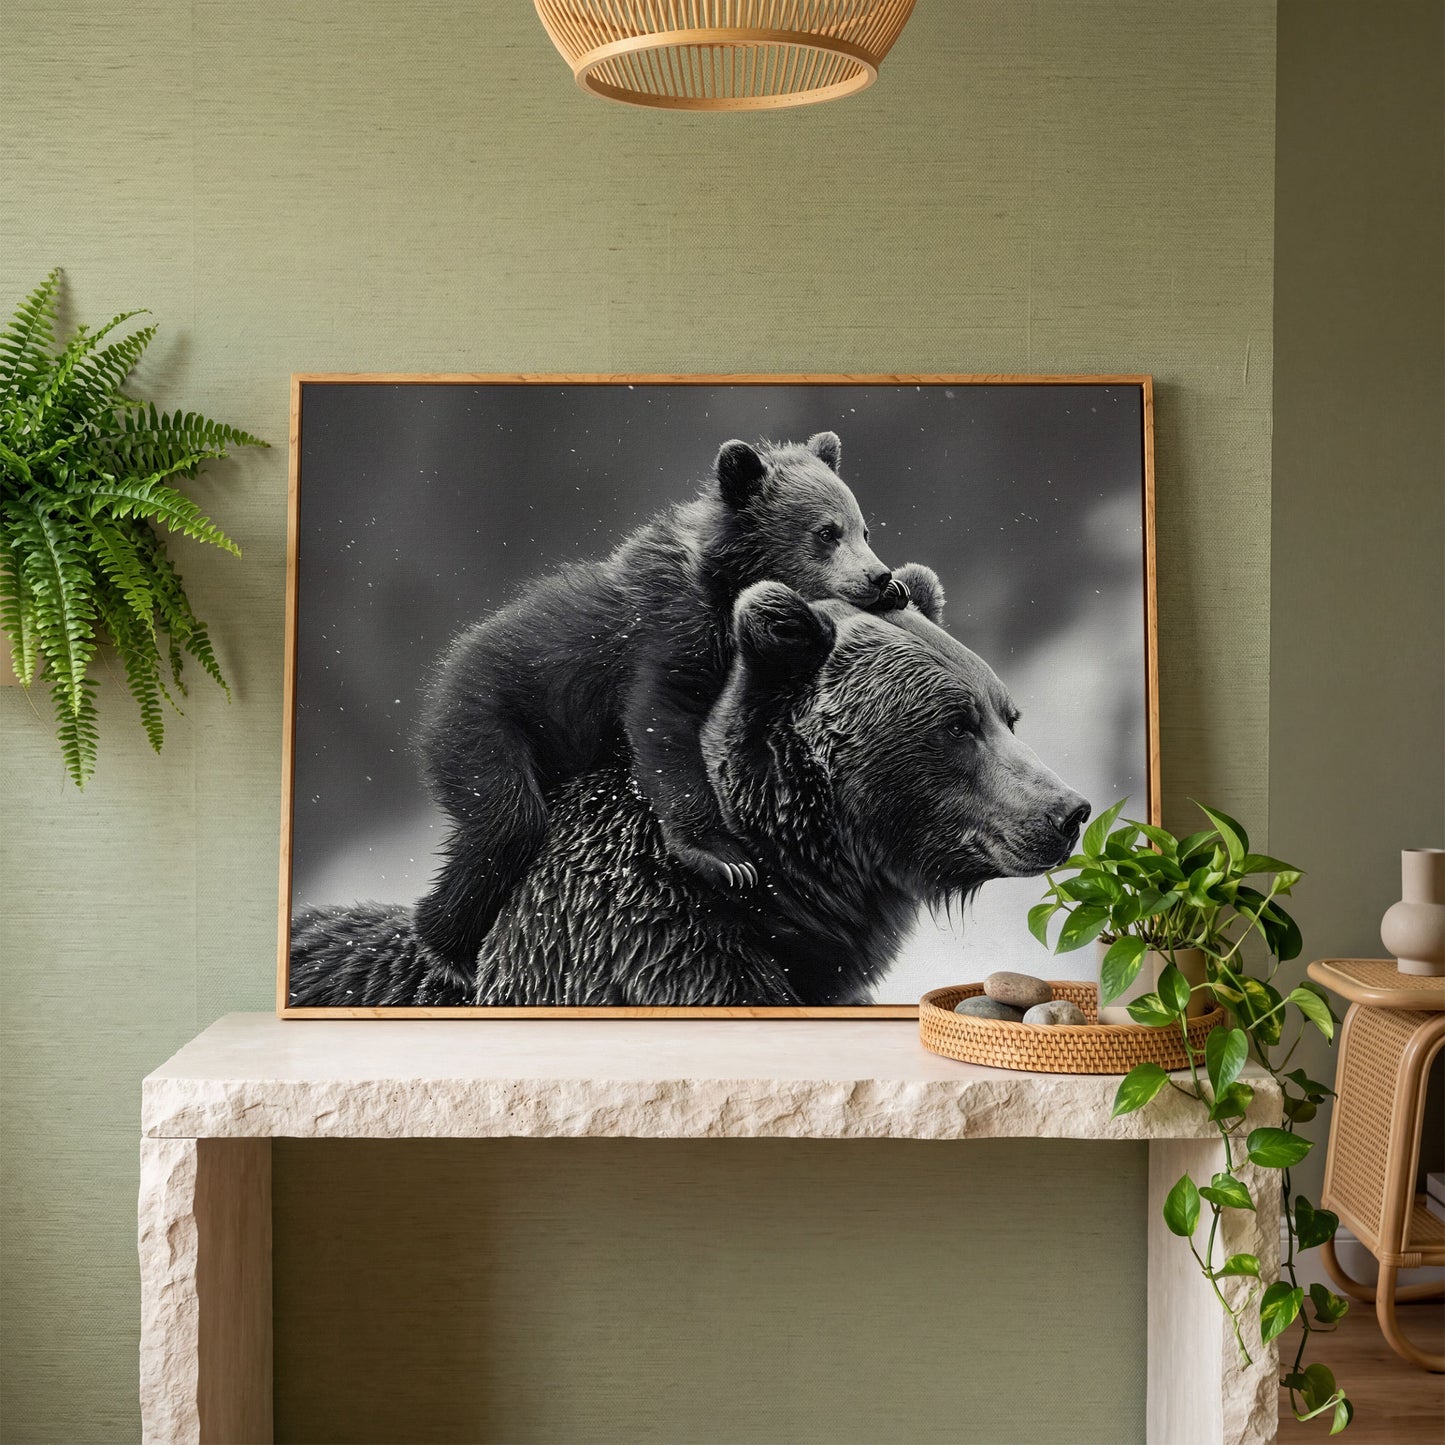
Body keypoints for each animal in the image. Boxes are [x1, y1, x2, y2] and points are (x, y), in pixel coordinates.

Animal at [409, 431, 911, 997]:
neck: (724, 583)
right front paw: (723, 857)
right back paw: (446, 948)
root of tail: (445, 671)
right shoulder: (671, 632)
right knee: (506, 821)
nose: (878, 576)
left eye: (863, 527)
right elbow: (664, 725)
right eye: (826, 532)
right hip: (488, 720)